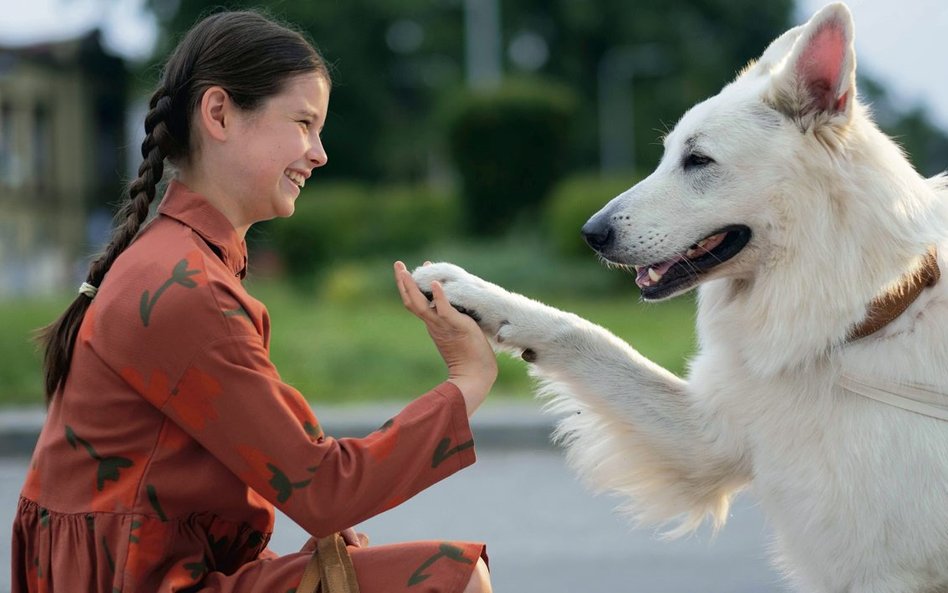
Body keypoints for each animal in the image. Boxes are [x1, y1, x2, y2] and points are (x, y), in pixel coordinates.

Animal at [412, 2, 948, 588]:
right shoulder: (709, 437)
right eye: (668, 155)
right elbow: (586, 334)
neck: (871, 316)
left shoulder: (883, 570)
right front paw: (474, 296)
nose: (589, 234)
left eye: (698, 161)